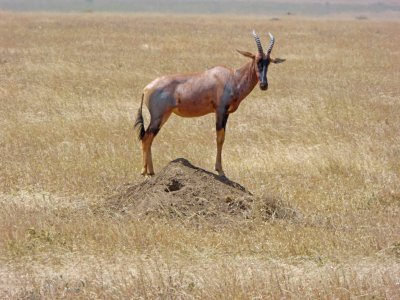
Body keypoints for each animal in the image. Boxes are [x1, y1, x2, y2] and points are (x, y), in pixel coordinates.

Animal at [134, 30, 284, 176]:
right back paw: (144, 171)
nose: (264, 85)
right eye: (257, 60)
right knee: (146, 138)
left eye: (269, 62)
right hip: (158, 117)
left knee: (149, 138)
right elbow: (219, 138)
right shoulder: (220, 110)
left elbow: (222, 137)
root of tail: (146, 88)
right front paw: (220, 170)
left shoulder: (226, 113)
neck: (232, 77)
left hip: (164, 116)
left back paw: (151, 172)